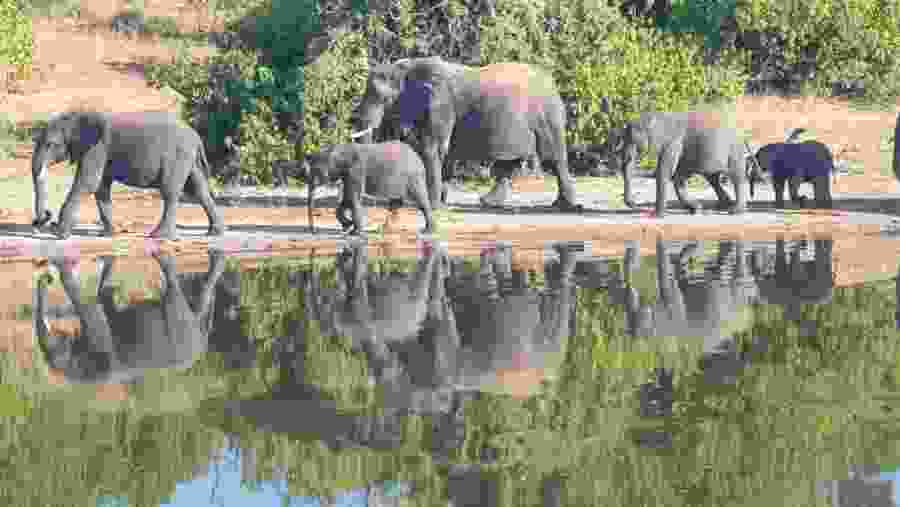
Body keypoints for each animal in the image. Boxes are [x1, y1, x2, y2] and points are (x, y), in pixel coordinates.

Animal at [31, 111, 225, 240]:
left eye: (51, 144)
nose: (44, 219)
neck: (75, 117)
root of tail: (197, 137)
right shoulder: (101, 152)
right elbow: (101, 188)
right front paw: (108, 235)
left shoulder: (98, 148)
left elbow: (87, 183)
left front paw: (60, 234)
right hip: (188, 159)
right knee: (198, 189)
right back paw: (214, 233)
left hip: (177, 157)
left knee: (170, 192)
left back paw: (159, 236)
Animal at [34, 251, 225, 384]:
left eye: (55, 352)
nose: (46, 278)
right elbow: (104, 300)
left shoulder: (102, 350)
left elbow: (92, 309)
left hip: (179, 327)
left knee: (173, 288)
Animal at [303, 141, 433, 235]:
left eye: (317, 172)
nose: (314, 232)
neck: (339, 149)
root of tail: (417, 156)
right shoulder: (347, 174)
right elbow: (347, 199)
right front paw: (349, 226)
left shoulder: (356, 171)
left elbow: (354, 198)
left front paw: (355, 233)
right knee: (395, 203)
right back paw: (382, 230)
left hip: (414, 178)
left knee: (420, 201)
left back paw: (427, 231)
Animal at [349, 56, 580, 212]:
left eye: (383, 98)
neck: (407, 68)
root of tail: (554, 84)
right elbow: (440, 150)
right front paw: (439, 200)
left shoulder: (441, 103)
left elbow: (433, 148)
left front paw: (434, 206)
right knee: (509, 163)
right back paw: (488, 203)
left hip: (547, 117)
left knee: (554, 158)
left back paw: (566, 206)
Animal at [606, 111, 755, 217]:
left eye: (633, 141)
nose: (635, 205)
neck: (655, 116)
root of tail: (744, 135)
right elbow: (678, 177)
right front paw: (695, 209)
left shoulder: (673, 143)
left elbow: (665, 172)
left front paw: (658, 215)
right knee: (713, 178)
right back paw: (725, 206)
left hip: (734, 150)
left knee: (736, 177)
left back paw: (735, 211)